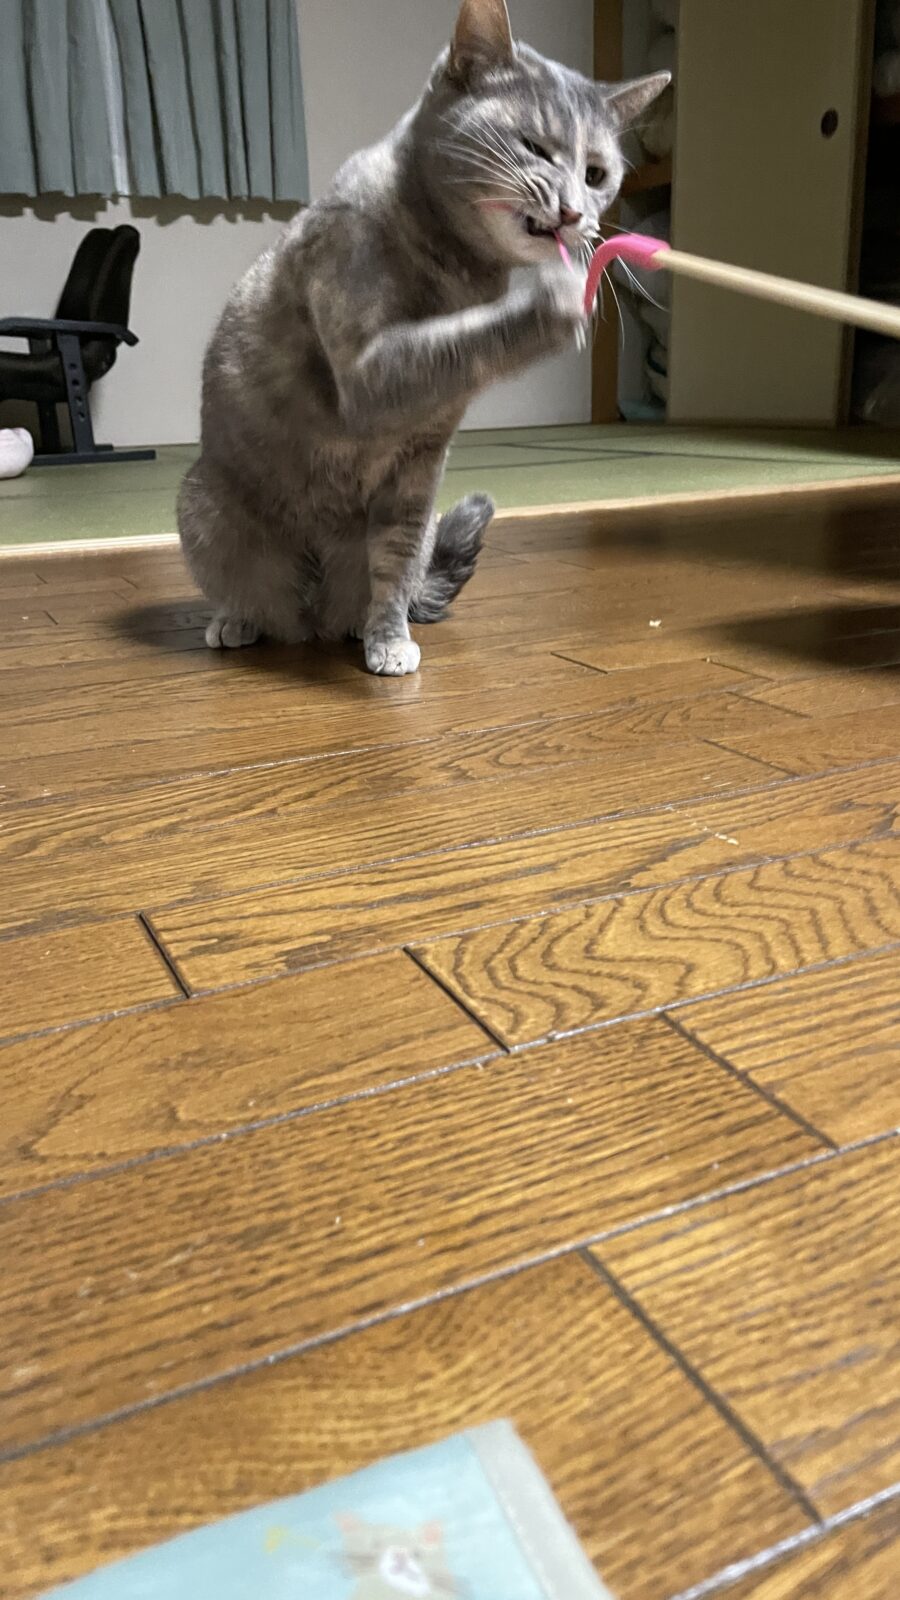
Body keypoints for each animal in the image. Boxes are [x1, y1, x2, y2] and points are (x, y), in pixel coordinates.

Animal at [178, 0, 668, 675]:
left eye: (597, 174)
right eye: (535, 148)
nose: (575, 213)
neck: (458, 274)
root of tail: (309, 616)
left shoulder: (420, 467)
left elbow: (395, 562)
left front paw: (386, 641)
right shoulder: (368, 370)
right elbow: (456, 340)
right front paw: (563, 295)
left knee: (392, 582)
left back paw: (355, 625)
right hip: (205, 508)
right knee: (248, 594)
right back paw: (236, 621)